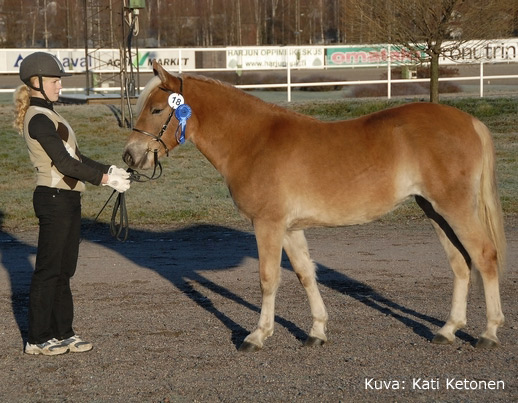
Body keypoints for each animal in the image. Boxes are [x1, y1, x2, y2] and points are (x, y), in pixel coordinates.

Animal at [123, 60, 508, 354]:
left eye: (157, 109)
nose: (130, 155)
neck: (253, 141)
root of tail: (470, 121)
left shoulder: (268, 224)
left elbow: (268, 278)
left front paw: (257, 335)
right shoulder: (291, 229)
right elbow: (306, 275)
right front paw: (317, 331)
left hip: (455, 208)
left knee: (485, 256)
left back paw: (489, 332)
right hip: (434, 211)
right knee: (460, 264)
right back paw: (448, 329)